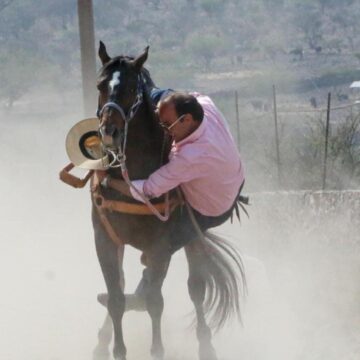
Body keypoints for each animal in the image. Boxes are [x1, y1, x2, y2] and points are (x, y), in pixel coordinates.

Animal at [91, 42, 246, 360]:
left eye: (129, 88)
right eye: (100, 84)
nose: (109, 132)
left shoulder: (160, 246)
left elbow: (156, 302)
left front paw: (157, 350)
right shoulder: (105, 239)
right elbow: (115, 298)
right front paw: (116, 349)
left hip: (192, 237)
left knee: (195, 288)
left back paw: (206, 345)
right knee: (125, 285)